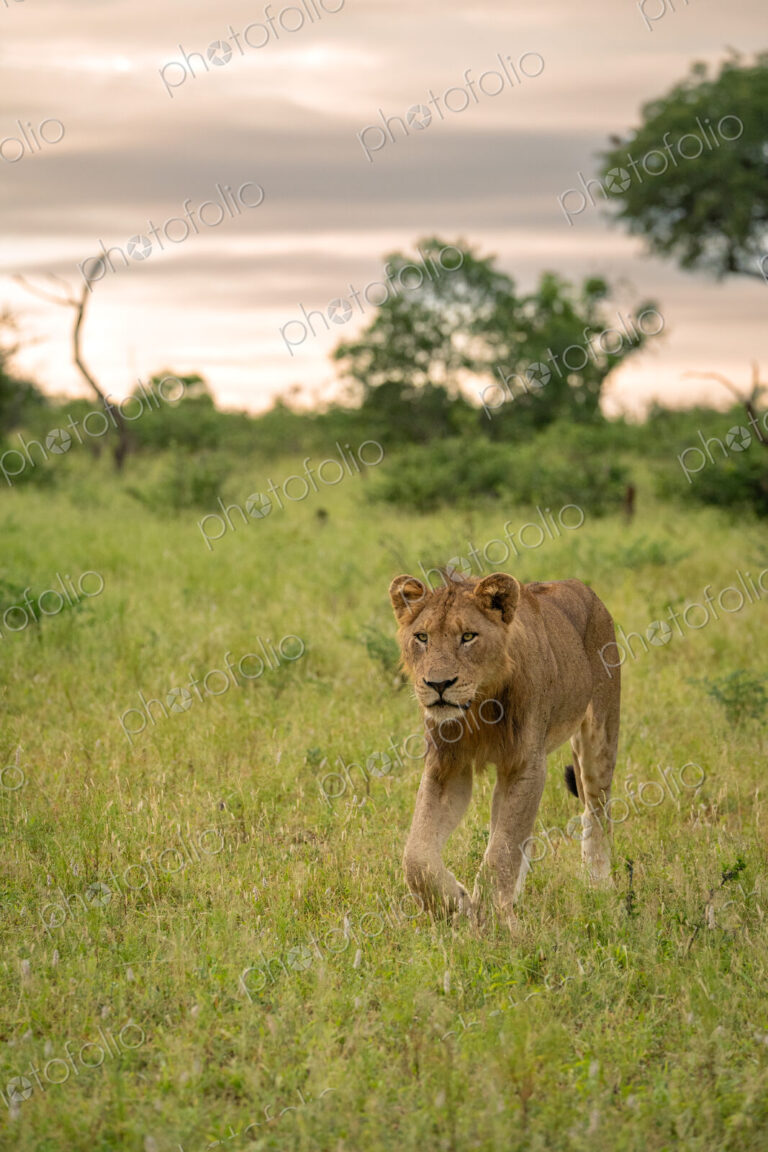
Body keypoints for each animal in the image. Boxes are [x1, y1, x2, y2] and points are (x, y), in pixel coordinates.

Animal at [388, 570, 620, 928]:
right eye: (422, 637)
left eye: (468, 636)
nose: (438, 685)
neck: (479, 707)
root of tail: (580, 586)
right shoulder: (446, 768)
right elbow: (417, 855)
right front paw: (457, 904)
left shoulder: (526, 766)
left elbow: (503, 849)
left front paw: (494, 920)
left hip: (600, 733)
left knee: (596, 810)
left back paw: (599, 886)